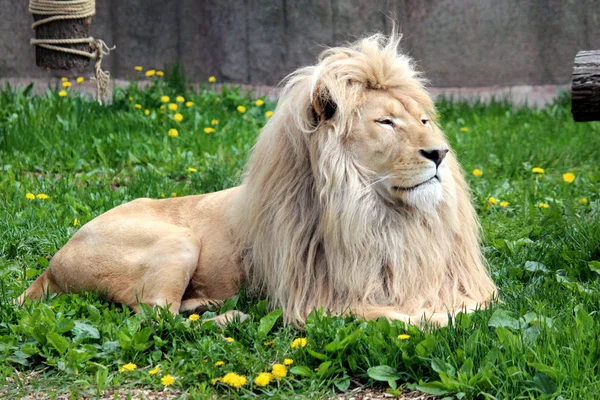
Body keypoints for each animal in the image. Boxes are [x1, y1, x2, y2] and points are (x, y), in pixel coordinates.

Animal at [19, 33, 496, 328]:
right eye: (385, 122)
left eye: (424, 121)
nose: (439, 153)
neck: (386, 215)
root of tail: (53, 263)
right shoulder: (320, 303)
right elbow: (401, 316)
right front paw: (444, 319)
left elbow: (478, 301)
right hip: (177, 240)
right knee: (156, 317)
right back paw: (230, 316)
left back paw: (207, 303)